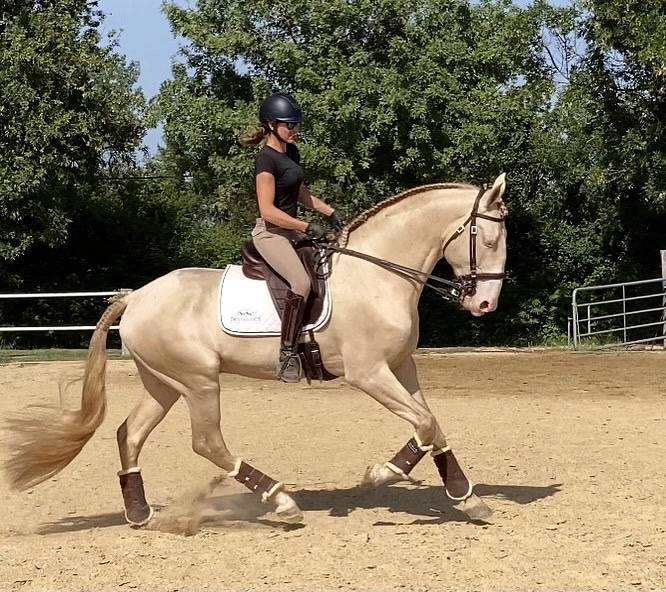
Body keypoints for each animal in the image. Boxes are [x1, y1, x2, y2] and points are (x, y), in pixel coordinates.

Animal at [4, 174, 508, 526]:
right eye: (487, 239)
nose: (484, 305)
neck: (379, 274)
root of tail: (136, 296)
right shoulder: (369, 372)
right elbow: (424, 424)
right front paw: (382, 474)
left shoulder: (401, 367)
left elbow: (432, 424)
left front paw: (468, 498)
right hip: (199, 381)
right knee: (207, 442)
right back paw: (281, 502)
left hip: (163, 383)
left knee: (130, 434)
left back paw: (140, 514)